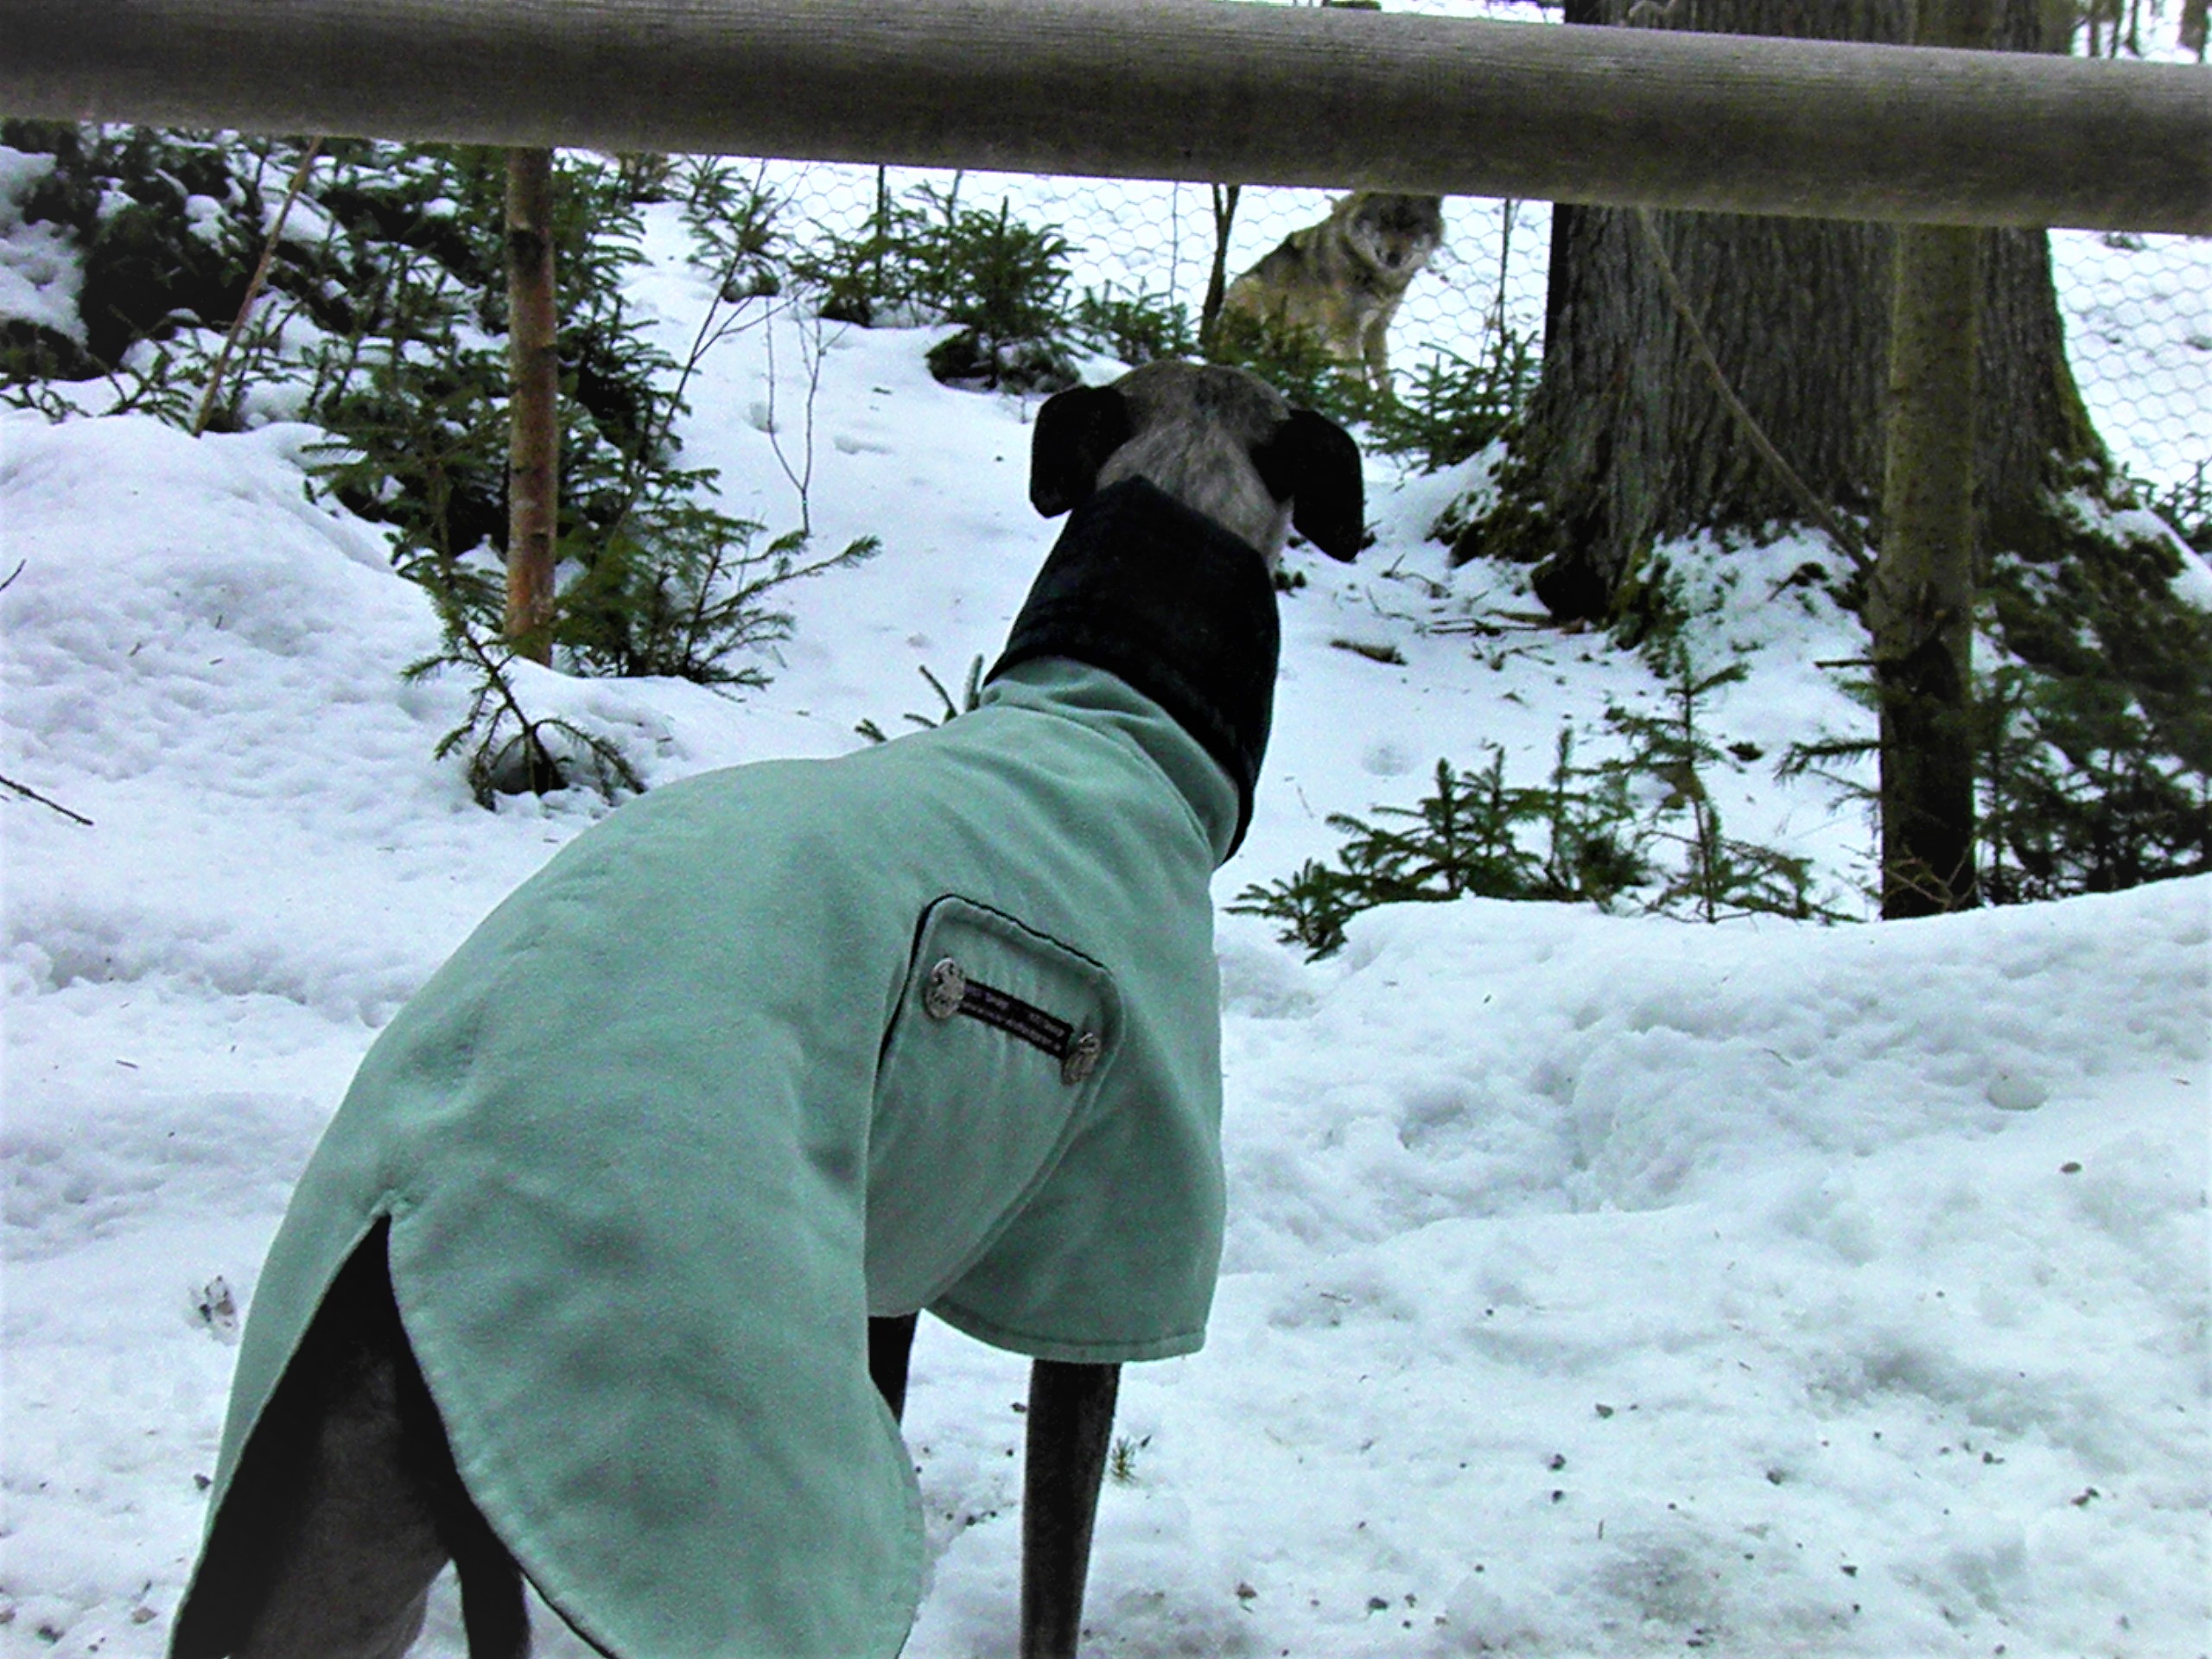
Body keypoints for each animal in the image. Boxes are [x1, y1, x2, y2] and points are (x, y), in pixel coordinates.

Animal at [168, 362, 1362, 1659]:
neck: (1112, 717)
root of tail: (411, 1208)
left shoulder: (886, 1269)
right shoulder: (1097, 1261)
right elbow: (1055, 1580)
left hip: (335, 1534)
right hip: (732, 1476)